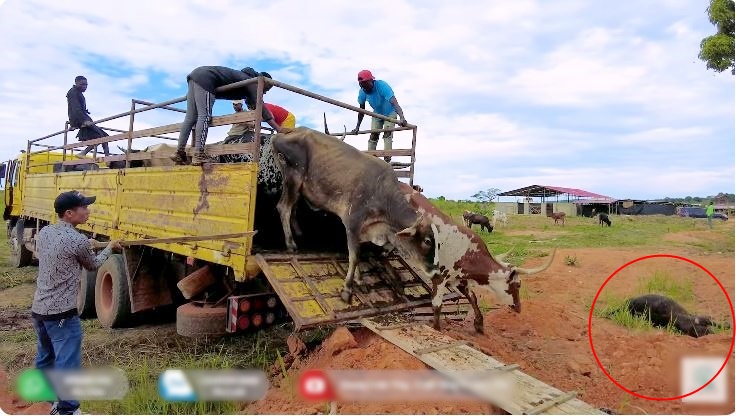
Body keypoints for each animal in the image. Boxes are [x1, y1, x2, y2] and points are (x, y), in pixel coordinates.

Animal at [274, 126, 440, 302]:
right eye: (427, 241)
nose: (435, 272)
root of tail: (288, 132)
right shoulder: (352, 224)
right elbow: (354, 257)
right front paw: (347, 289)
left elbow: (358, 255)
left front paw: (360, 281)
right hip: (292, 178)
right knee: (284, 207)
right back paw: (290, 244)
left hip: (298, 187)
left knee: (293, 207)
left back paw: (298, 233)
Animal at [400, 184, 556, 334]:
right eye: (518, 285)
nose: (519, 308)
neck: (468, 251)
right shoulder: (439, 277)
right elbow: (437, 305)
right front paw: (437, 328)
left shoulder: (459, 278)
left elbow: (472, 297)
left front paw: (479, 323)